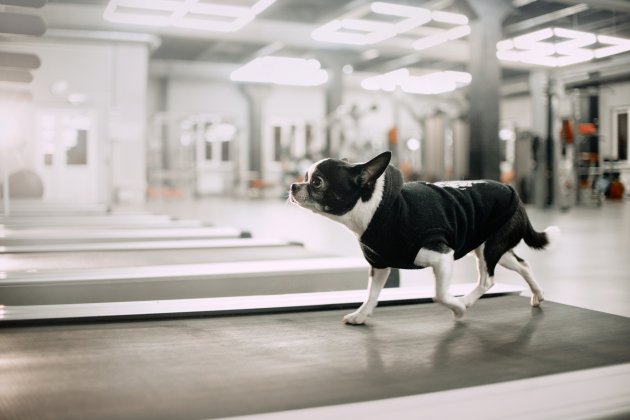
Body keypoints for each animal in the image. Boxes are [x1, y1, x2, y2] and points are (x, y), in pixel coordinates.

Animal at [288, 151, 560, 324]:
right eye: (305, 177)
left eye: (317, 182)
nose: (293, 186)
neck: (374, 209)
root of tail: (515, 194)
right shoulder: (380, 264)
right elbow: (372, 293)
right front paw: (362, 315)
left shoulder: (443, 256)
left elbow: (438, 294)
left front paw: (457, 307)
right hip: (496, 248)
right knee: (522, 264)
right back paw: (538, 294)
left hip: (490, 249)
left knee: (487, 280)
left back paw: (466, 302)